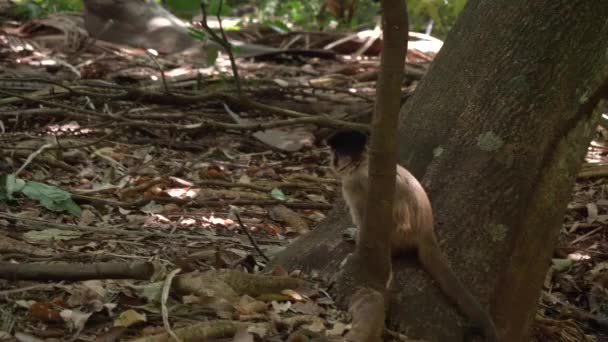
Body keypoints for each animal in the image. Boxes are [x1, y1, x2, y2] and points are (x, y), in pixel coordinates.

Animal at [326, 130, 496, 340]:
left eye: (335, 155)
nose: (331, 162)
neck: (364, 162)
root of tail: (426, 229)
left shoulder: (356, 183)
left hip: (398, 234)